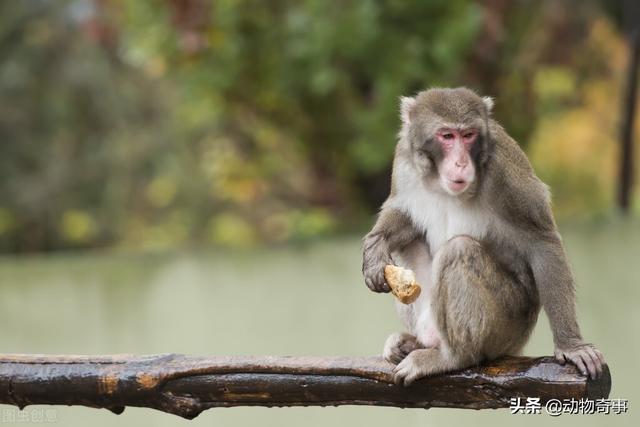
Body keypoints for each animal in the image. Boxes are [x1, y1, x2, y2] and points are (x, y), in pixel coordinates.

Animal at [362, 88, 608, 388]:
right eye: (447, 136)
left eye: (468, 135)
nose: (460, 162)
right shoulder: (404, 159)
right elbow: (404, 214)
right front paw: (375, 248)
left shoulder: (504, 170)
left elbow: (542, 241)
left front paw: (572, 346)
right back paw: (414, 342)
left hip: (509, 327)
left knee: (459, 249)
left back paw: (453, 357)